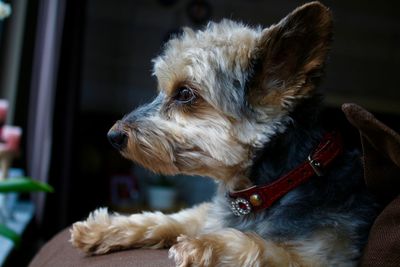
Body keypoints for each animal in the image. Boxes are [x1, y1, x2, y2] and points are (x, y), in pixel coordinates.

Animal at [70, 2, 380, 267]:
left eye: (185, 94)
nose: (112, 135)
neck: (270, 186)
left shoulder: (323, 256)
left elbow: (259, 246)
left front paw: (203, 245)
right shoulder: (209, 213)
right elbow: (168, 218)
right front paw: (102, 228)